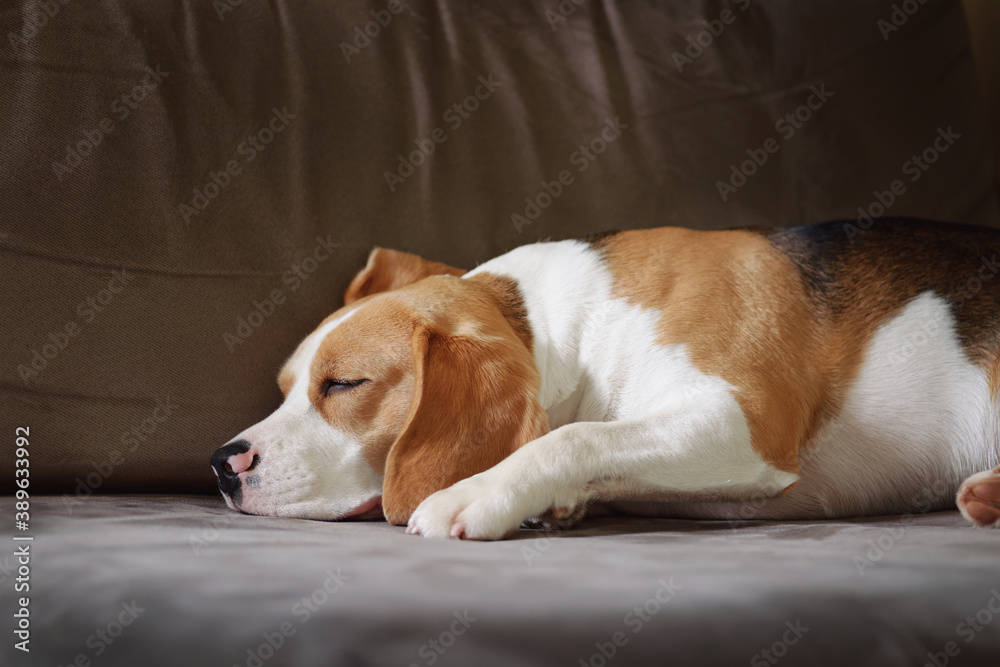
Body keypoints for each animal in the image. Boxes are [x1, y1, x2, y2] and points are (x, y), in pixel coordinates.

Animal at [209, 222, 1000, 540]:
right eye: (285, 386)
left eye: (343, 385)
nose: (220, 462)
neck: (566, 329)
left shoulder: (744, 423)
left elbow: (576, 437)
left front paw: (475, 490)